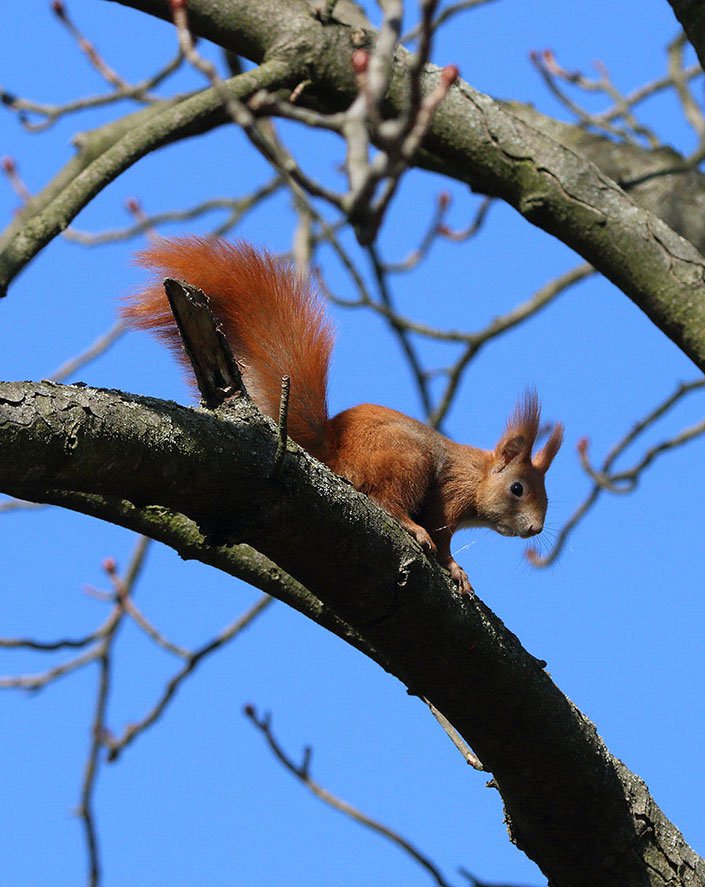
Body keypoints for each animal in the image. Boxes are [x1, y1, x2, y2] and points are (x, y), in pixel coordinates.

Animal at [121, 239, 560, 592]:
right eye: (517, 488)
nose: (536, 528)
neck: (476, 474)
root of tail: (332, 450)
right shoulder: (449, 495)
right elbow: (443, 536)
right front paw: (455, 569)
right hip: (406, 458)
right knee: (388, 500)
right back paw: (410, 526)